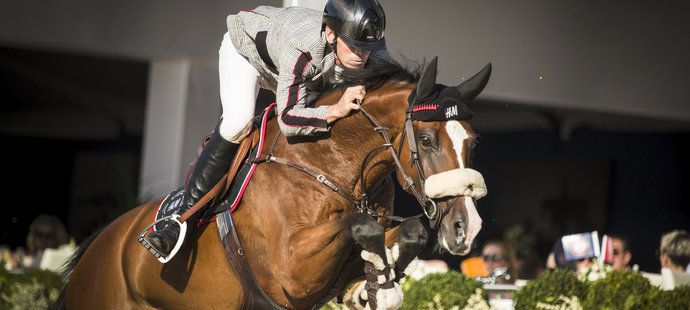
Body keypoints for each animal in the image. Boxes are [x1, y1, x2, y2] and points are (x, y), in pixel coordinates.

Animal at [59, 56, 490, 310]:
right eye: (428, 140)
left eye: (473, 141)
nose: (466, 229)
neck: (332, 163)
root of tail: (97, 246)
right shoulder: (291, 273)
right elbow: (359, 225)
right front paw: (380, 283)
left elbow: (408, 232)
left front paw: (376, 282)